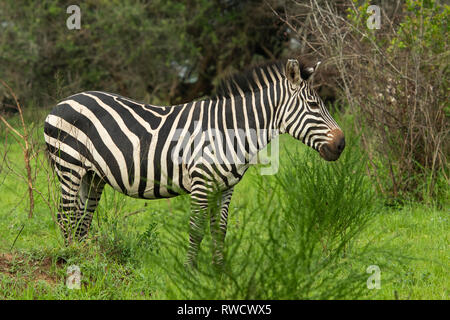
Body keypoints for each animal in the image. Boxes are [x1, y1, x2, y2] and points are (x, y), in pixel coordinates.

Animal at [44, 58, 344, 268]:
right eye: (314, 106)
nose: (341, 144)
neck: (230, 130)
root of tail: (62, 102)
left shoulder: (225, 188)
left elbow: (219, 230)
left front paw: (221, 271)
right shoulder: (201, 182)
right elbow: (197, 228)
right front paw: (191, 269)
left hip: (92, 176)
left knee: (82, 219)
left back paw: (84, 258)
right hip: (69, 167)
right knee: (66, 216)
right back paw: (71, 261)